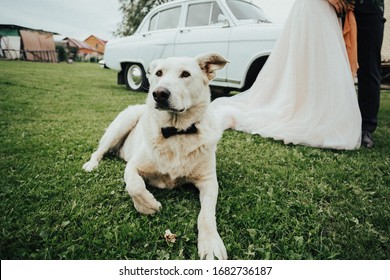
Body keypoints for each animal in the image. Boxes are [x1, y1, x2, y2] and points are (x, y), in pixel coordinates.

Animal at [82, 53, 229, 260]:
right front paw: (150, 205)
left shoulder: (208, 181)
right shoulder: (133, 166)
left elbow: (206, 214)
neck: (176, 133)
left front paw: (210, 243)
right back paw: (91, 164)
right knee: (99, 150)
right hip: (121, 124)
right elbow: (135, 186)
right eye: (159, 73)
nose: (159, 93)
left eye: (186, 74)